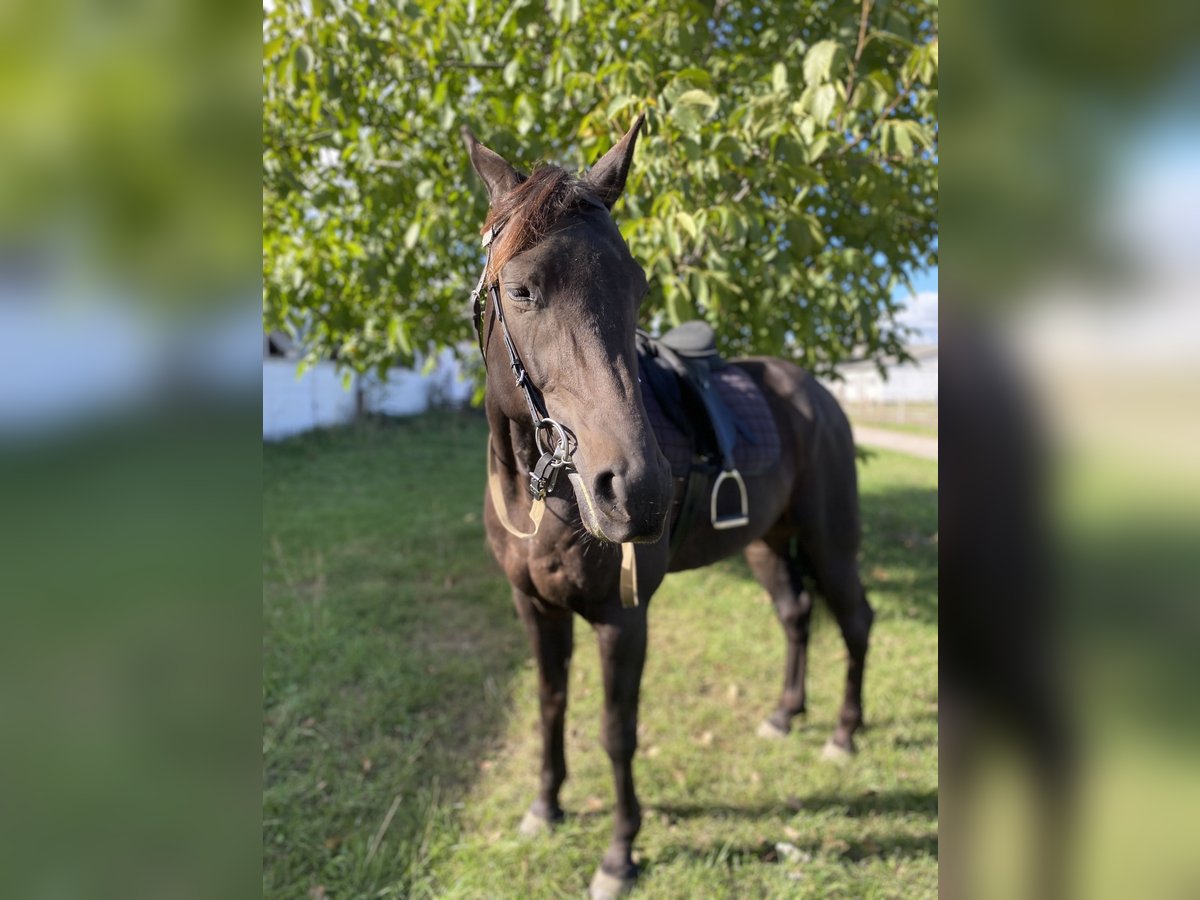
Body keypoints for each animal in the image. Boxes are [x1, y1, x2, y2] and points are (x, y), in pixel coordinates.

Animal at [460, 116, 873, 897]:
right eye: (522, 290)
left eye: (638, 286)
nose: (638, 489)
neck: (540, 500)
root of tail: (816, 393)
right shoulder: (535, 609)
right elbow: (550, 705)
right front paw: (545, 807)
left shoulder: (623, 620)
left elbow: (618, 732)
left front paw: (620, 855)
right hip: (766, 542)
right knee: (797, 613)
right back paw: (784, 715)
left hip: (830, 541)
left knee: (854, 619)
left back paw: (842, 735)